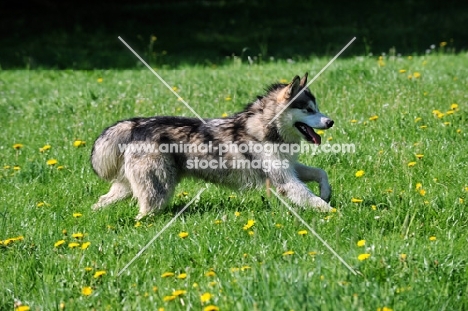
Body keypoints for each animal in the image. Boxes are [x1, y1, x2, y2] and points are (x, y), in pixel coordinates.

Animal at [90, 73, 332, 221]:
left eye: (317, 108)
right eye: (309, 110)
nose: (331, 122)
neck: (265, 126)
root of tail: (137, 124)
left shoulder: (288, 168)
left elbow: (321, 172)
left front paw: (326, 192)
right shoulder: (284, 179)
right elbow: (311, 198)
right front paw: (332, 212)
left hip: (129, 186)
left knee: (102, 201)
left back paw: (93, 216)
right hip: (157, 192)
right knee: (143, 215)